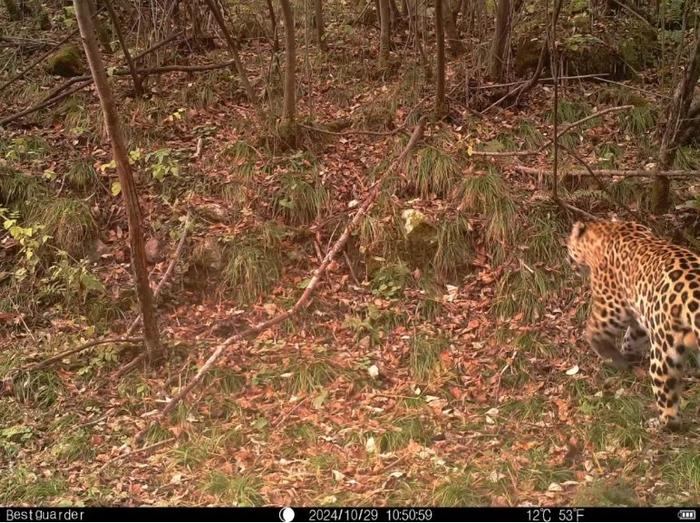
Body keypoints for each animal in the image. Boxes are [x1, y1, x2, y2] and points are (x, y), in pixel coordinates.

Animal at [568, 219, 700, 432]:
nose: (569, 262)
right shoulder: (640, 313)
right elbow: (632, 338)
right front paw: (628, 357)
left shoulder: (611, 307)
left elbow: (594, 331)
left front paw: (614, 359)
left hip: (664, 353)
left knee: (669, 405)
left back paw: (658, 424)